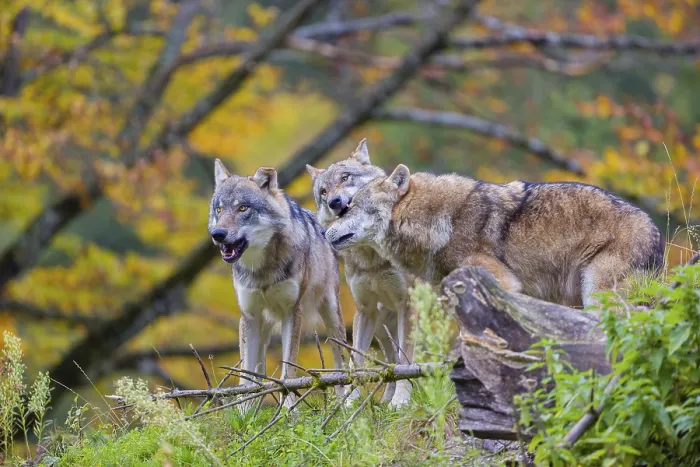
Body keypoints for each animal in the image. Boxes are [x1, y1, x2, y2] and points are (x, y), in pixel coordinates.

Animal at [209, 160, 347, 406]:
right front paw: (244, 411)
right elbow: (246, 378)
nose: (218, 234)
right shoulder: (249, 315)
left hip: (332, 316)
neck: (261, 270)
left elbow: (287, 372)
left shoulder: (292, 311)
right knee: (258, 371)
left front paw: (287, 408)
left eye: (243, 208)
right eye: (219, 209)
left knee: (343, 362)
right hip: (263, 327)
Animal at [307, 139, 413, 407]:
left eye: (345, 177)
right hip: (382, 326)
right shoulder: (365, 310)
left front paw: (402, 401)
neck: (372, 257)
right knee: (390, 361)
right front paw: (349, 403)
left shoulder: (407, 305)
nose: (334, 201)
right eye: (323, 191)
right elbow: (356, 363)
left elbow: (406, 361)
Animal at [324, 163, 664, 308]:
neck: (438, 222)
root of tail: (656, 232)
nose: (325, 232)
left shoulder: (503, 284)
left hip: (597, 291)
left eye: (349, 207)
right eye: (340, 208)